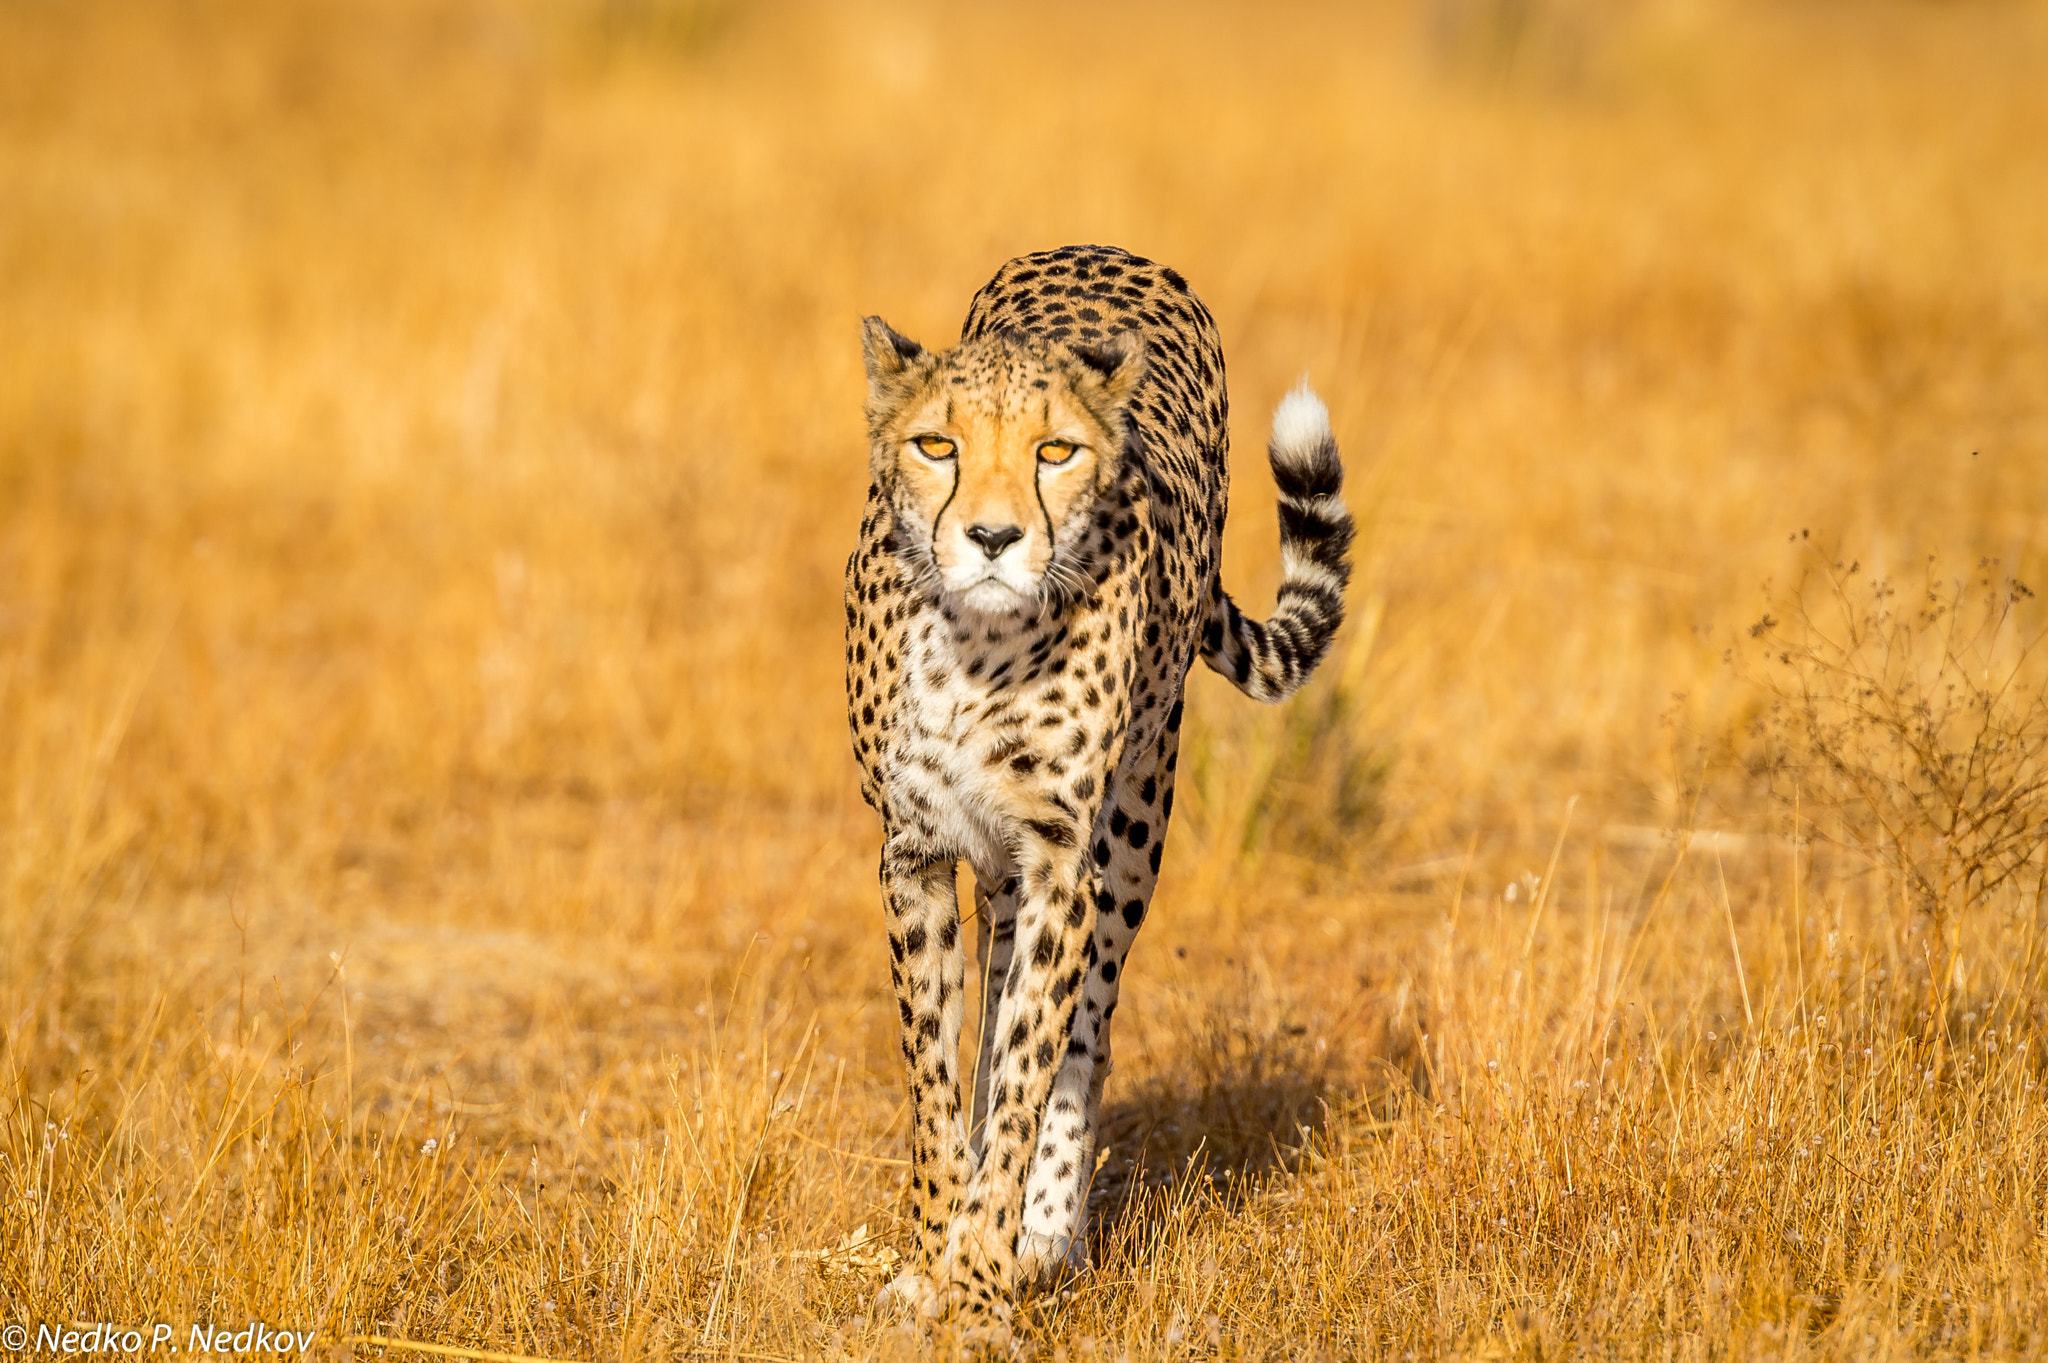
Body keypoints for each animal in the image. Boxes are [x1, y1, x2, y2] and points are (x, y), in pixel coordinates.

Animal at [843, 243, 1354, 1336]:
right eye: (937, 444)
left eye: (1055, 452)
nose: (994, 538)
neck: (978, 644)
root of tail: (1106, 249)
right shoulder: (915, 850)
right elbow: (936, 1075)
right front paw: (933, 1257)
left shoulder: (1059, 861)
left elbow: (1030, 1067)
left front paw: (984, 1279)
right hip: (1004, 875)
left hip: (1131, 828)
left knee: (1083, 1029)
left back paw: (1046, 1234)